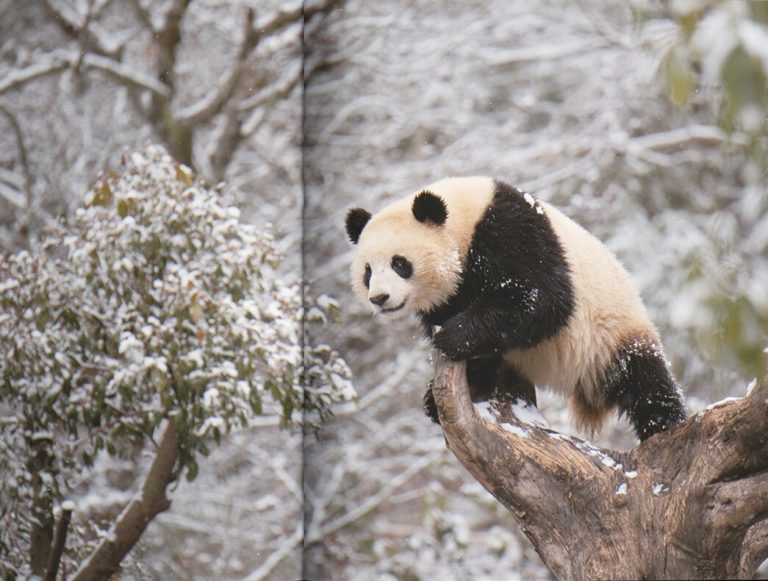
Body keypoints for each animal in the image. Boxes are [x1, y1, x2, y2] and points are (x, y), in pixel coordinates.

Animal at [345, 177, 686, 441]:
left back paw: (664, 426)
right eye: (368, 271)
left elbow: (542, 299)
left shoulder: (509, 230)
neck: (463, 222)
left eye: (400, 264)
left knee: (646, 382)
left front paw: (450, 338)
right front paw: (440, 391)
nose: (380, 298)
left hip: (614, 334)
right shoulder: (450, 296)